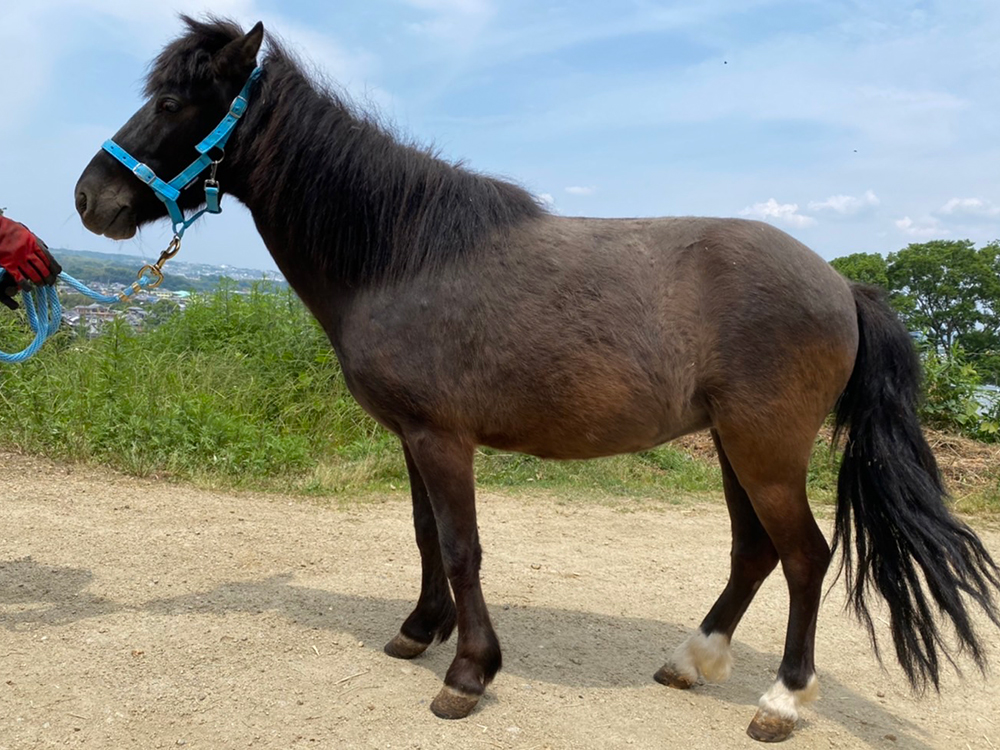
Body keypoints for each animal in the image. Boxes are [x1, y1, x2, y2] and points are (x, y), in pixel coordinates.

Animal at [74, 17, 996, 748]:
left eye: (174, 102)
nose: (90, 198)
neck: (403, 257)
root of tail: (841, 284)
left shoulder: (443, 439)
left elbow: (462, 547)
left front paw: (468, 674)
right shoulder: (413, 437)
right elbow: (426, 539)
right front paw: (420, 632)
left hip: (766, 448)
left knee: (805, 557)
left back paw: (780, 701)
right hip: (738, 448)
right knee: (755, 552)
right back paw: (691, 659)